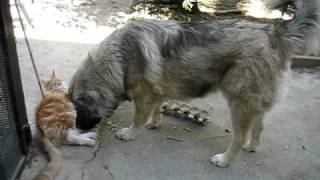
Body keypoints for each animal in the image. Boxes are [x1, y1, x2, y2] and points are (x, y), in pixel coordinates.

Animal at [69, 0, 320, 167]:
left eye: (80, 108)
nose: (79, 127)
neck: (119, 59)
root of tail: (274, 32)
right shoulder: (156, 91)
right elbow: (157, 108)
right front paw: (154, 123)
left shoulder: (143, 96)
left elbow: (138, 117)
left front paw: (130, 133)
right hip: (254, 102)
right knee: (258, 127)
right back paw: (252, 146)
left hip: (238, 101)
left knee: (239, 137)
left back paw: (225, 160)